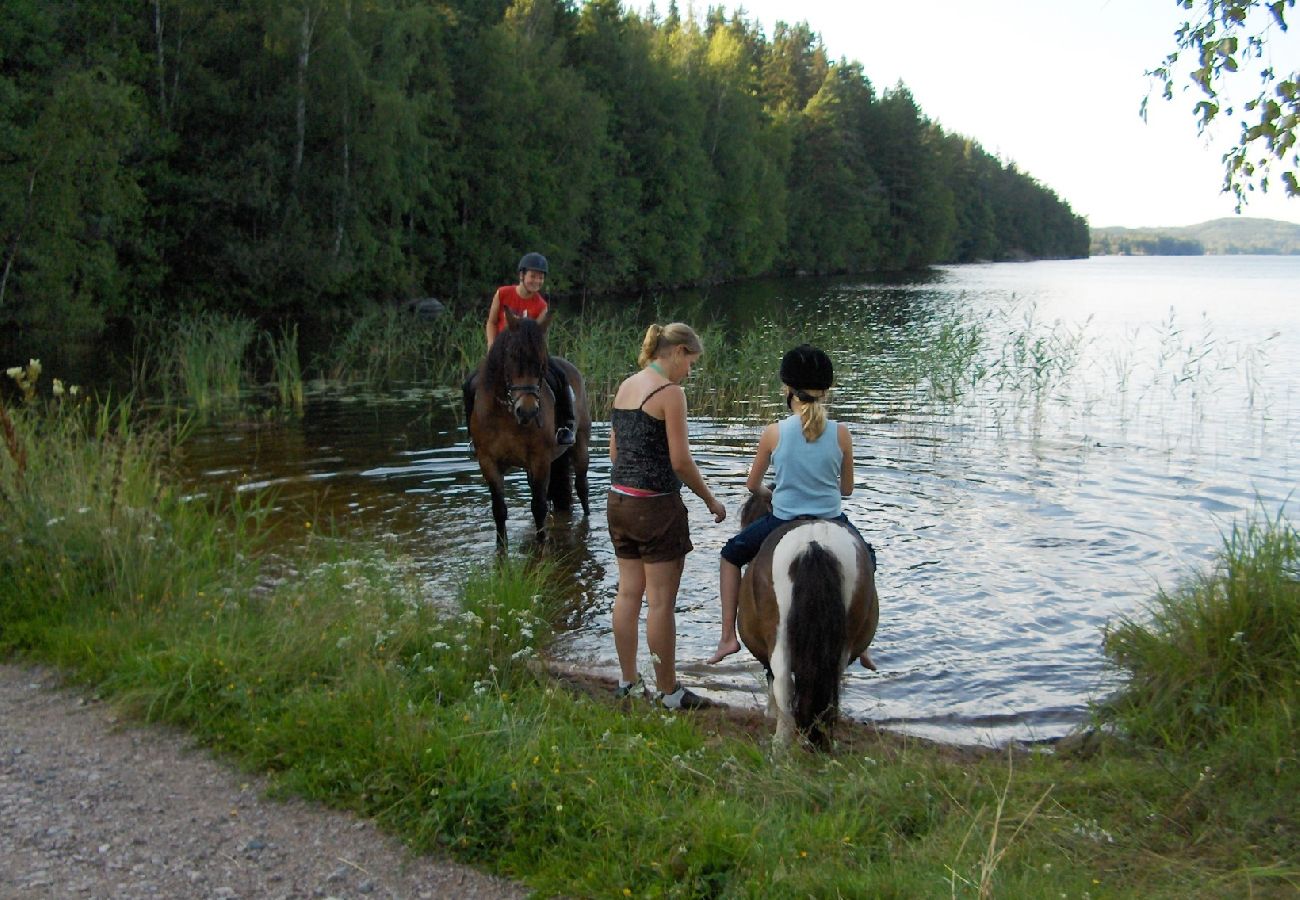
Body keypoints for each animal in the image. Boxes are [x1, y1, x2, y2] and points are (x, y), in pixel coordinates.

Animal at [467, 309, 590, 548]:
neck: (505, 413)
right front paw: (501, 549)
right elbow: (499, 510)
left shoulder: (540, 459)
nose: (527, 411)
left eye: (542, 362)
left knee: (581, 489)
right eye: (512, 357)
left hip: (580, 445)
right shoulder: (488, 461)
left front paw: (541, 547)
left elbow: (538, 507)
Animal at [738, 489, 878, 749]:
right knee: (830, 682)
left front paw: (770, 714)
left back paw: (780, 744)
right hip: (842, 642)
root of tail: (814, 544)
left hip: (778, 635)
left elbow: (771, 679)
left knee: (783, 682)